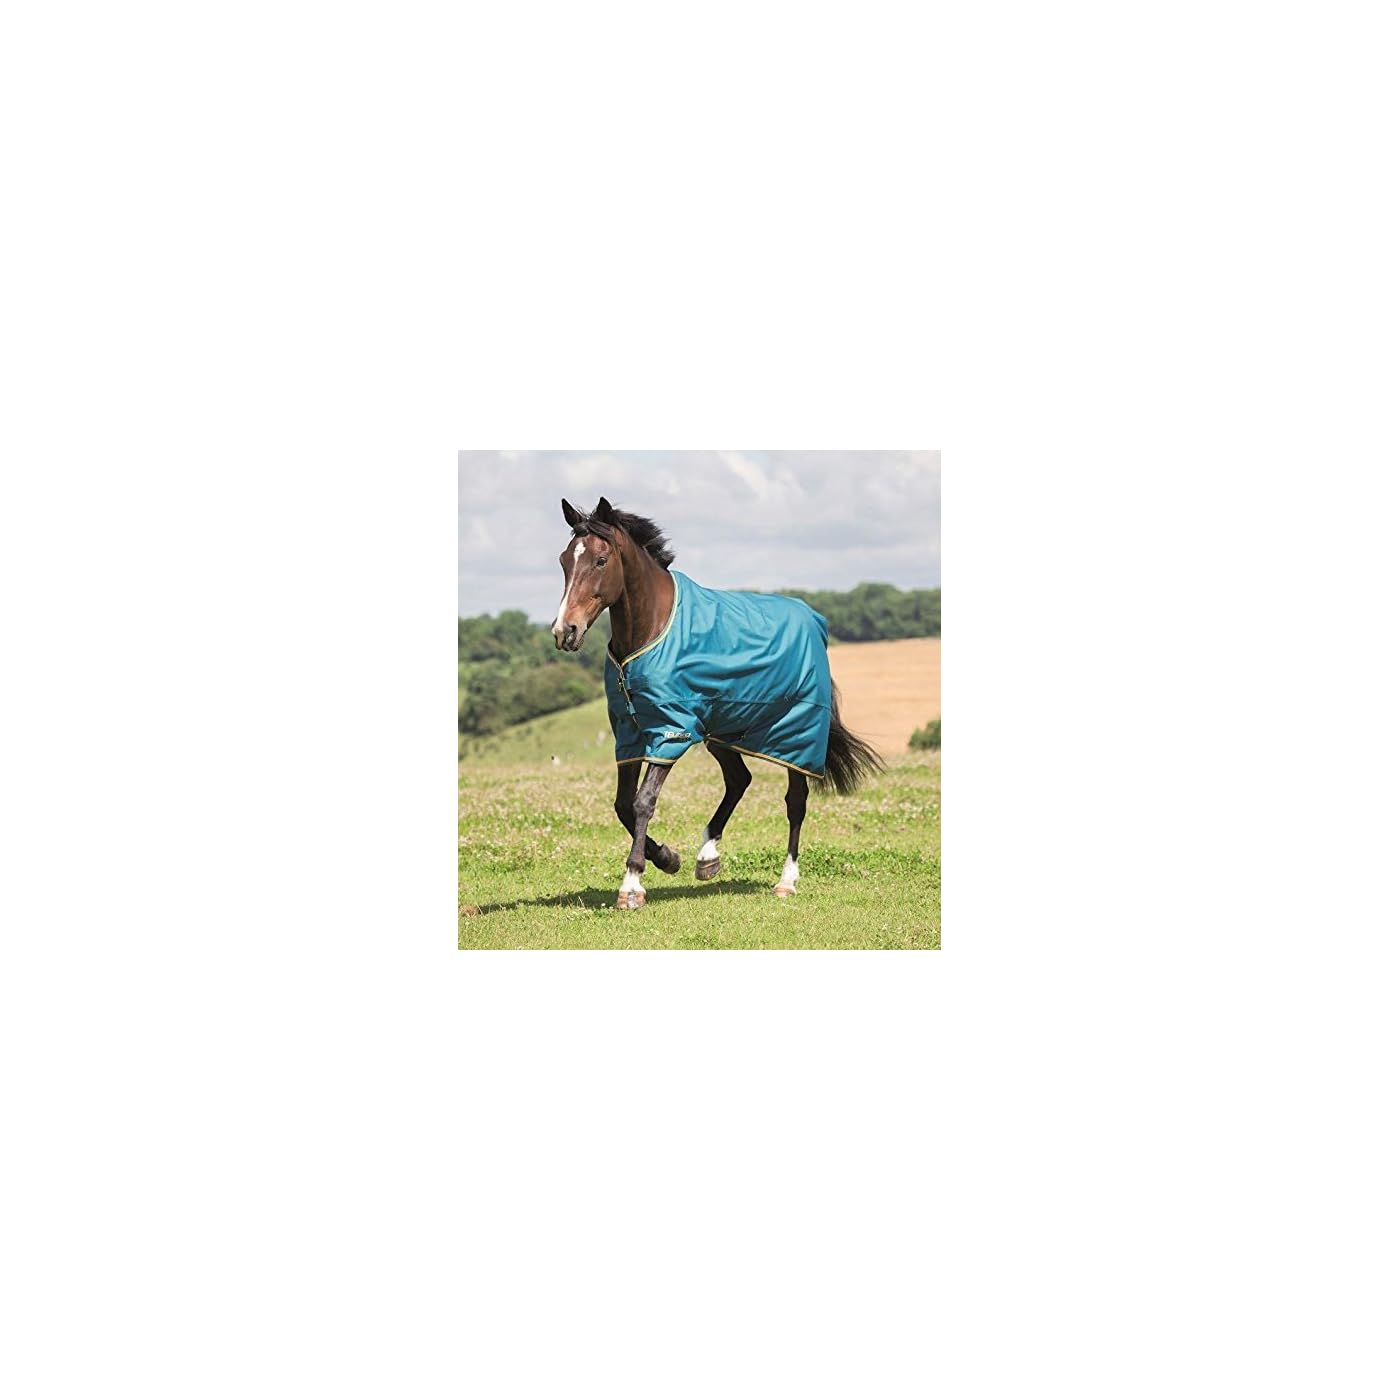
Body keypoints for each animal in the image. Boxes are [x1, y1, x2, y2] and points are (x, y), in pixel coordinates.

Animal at [552, 496, 884, 910]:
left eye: (600, 560)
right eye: (564, 560)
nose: (565, 631)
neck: (652, 629)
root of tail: (814, 620)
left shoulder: (671, 731)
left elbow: (643, 802)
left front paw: (632, 885)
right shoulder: (629, 733)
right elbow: (623, 805)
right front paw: (668, 859)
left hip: (797, 733)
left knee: (795, 800)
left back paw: (786, 880)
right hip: (723, 731)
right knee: (739, 779)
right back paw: (706, 857)